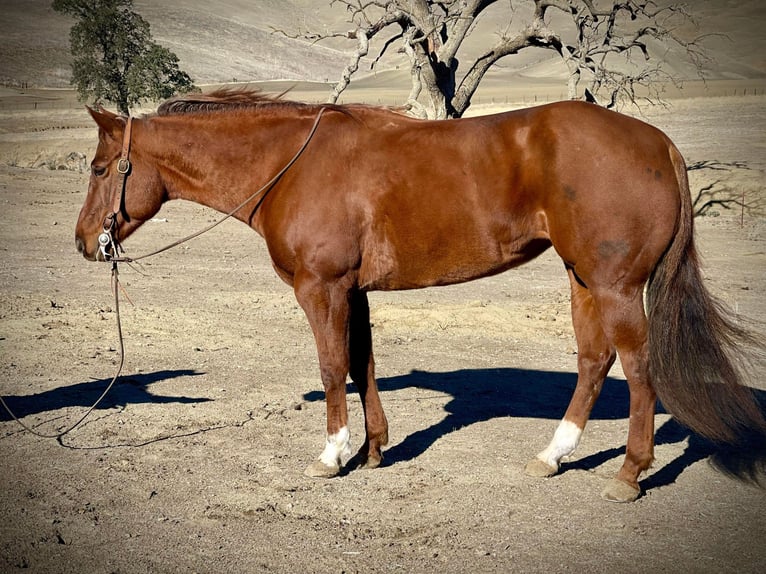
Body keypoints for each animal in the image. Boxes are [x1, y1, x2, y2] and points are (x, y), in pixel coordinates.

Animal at [75, 89, 764, 504]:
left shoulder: (321, 289)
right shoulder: (352, 292)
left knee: (639, 369)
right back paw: (553, 455)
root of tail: (658, 142)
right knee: (595, 361)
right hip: (583, 279)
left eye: (100, 168)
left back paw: (627, 475)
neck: (291, 164)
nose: (84, 242)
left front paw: (332, 454)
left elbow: (331, 367)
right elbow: (362, 365)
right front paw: (375, 450)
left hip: (616, 286)